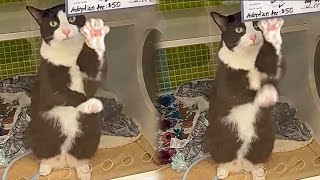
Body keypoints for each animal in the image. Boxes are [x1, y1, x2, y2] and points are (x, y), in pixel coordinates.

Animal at [25, 4, 110, 180]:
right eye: (53, 23)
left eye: (72, 18)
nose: (65, 30)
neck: (68, 54)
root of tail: (64, 159)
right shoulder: (46, 76)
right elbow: (58, 93)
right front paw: (89, 103)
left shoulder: (91, 76)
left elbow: (95, 78)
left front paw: (95, 35)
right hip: (36, 130)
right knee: (45, 154)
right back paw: (45, 167)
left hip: (91, 131)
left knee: (81, 156)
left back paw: (83, 170)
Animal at [204, 11, 284, 180]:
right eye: (239, 29)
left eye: (256, 24)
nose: (253, 36)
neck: (249, 59)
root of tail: (240, 163)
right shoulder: (225, 80)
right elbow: (237, 94)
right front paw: (264, 96)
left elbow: (275, 71)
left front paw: (272, 28)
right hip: (213, 137)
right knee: (223, 159)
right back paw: (222, 171)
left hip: (266, 138)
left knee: (255, 161)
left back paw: (258, 172)